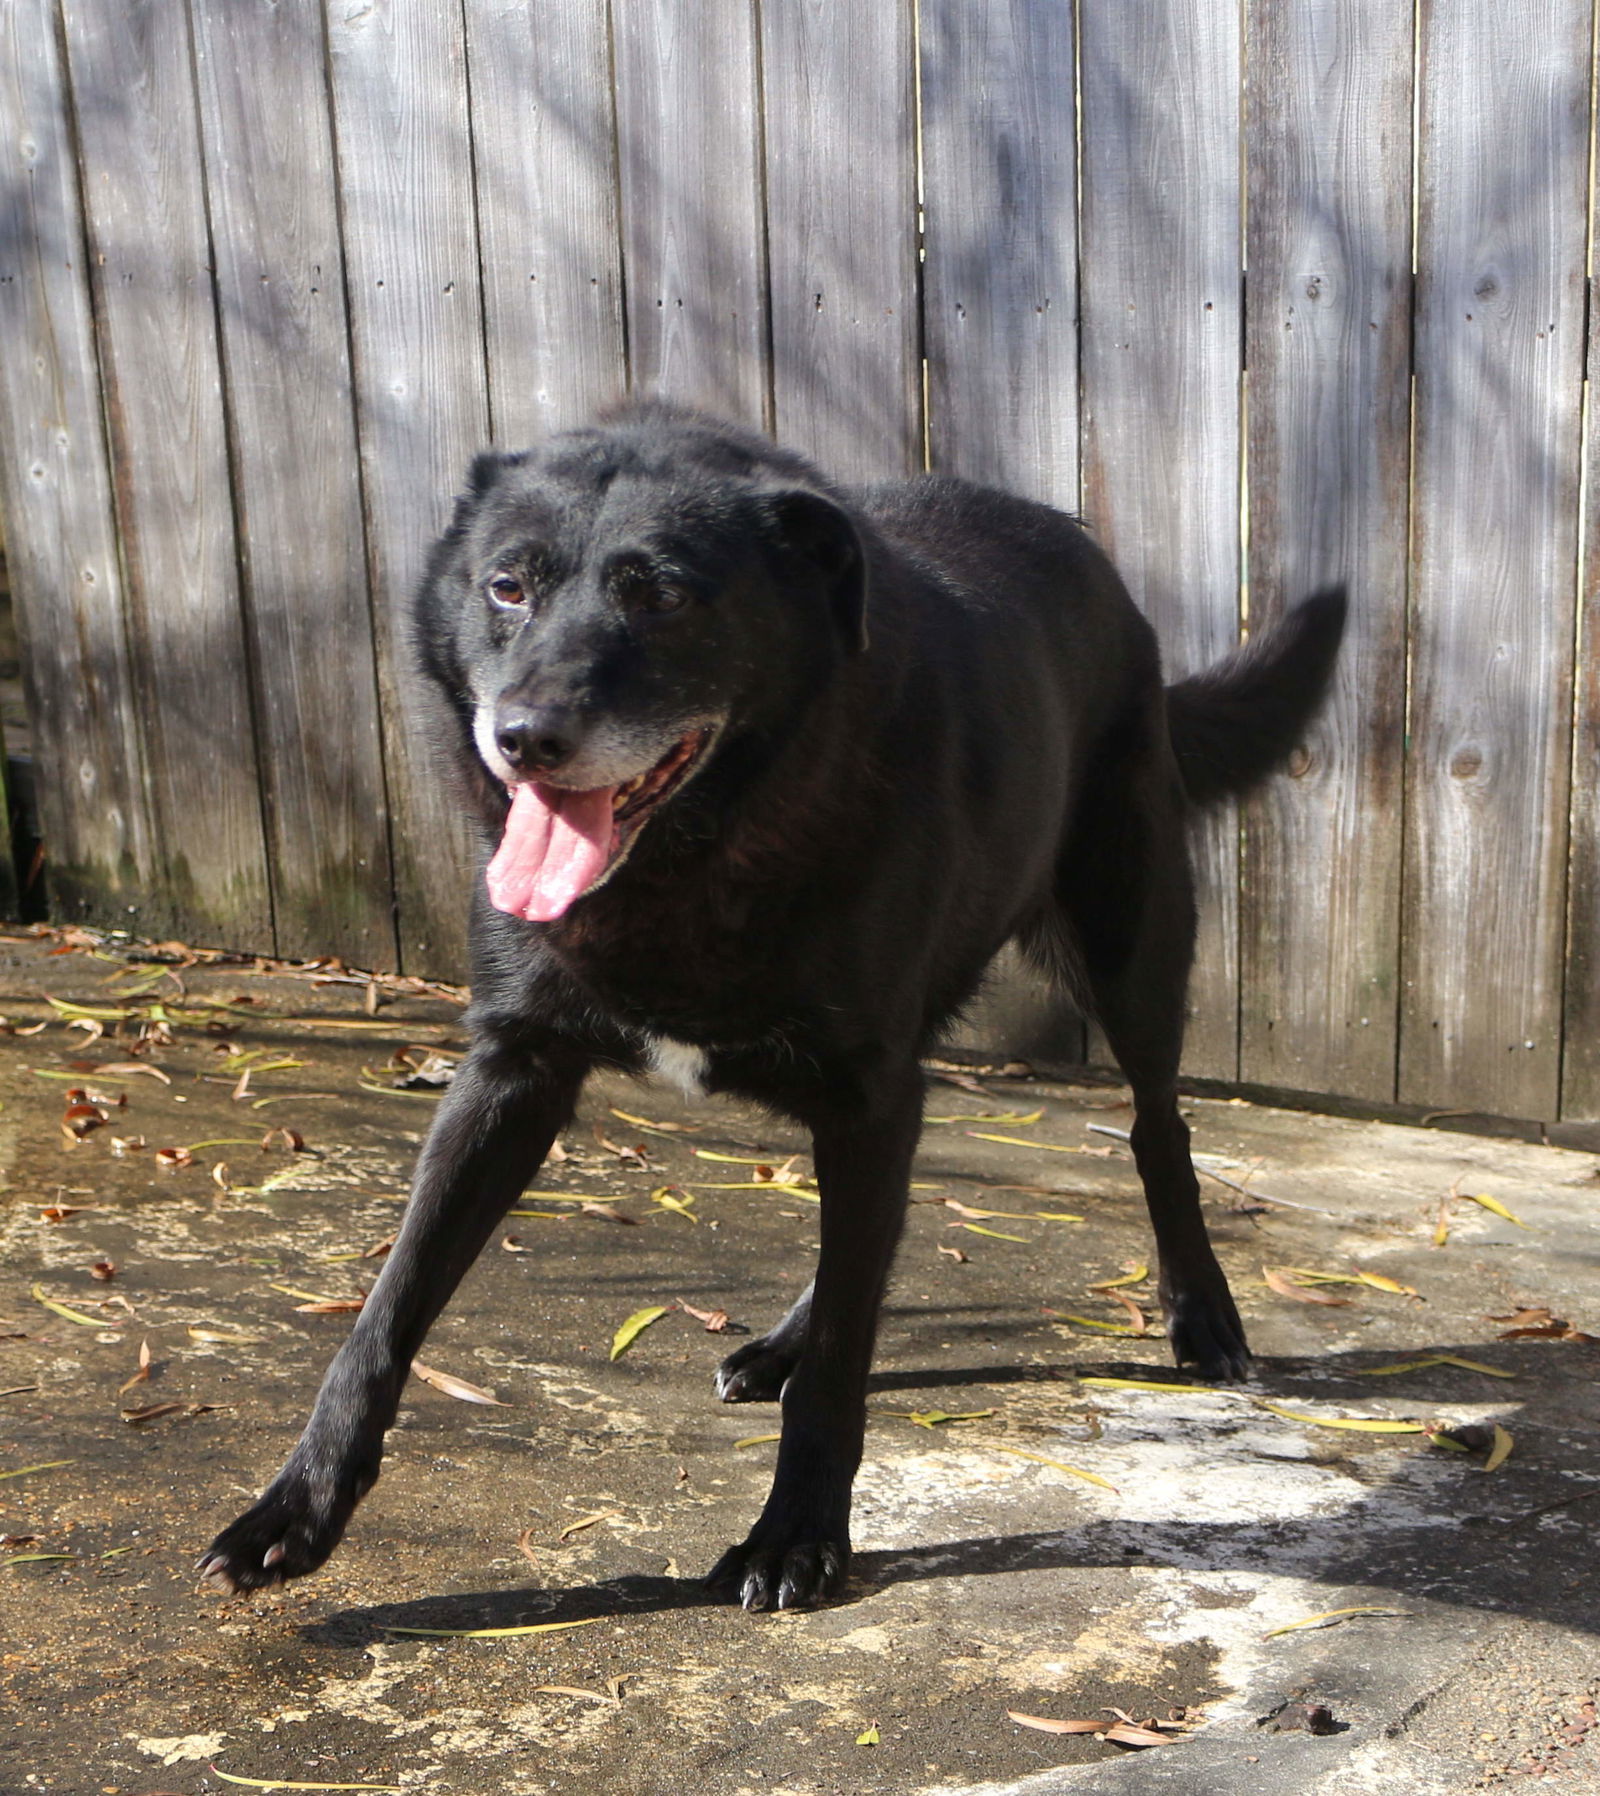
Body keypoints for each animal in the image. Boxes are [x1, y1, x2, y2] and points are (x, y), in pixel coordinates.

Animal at [202, 407, 1350, 1616]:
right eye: (507, 586)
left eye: (661, 595)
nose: (521, 737)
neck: (709, 845)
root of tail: (1090, 557)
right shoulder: (514, 1070)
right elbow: (384, 1309)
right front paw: (295, 1508)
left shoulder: (867, 1089)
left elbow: (848, 1349)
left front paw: (795, 1533)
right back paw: (783, 1340)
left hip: (1129, 942)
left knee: (1155, 1127)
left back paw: (1201, 1313)